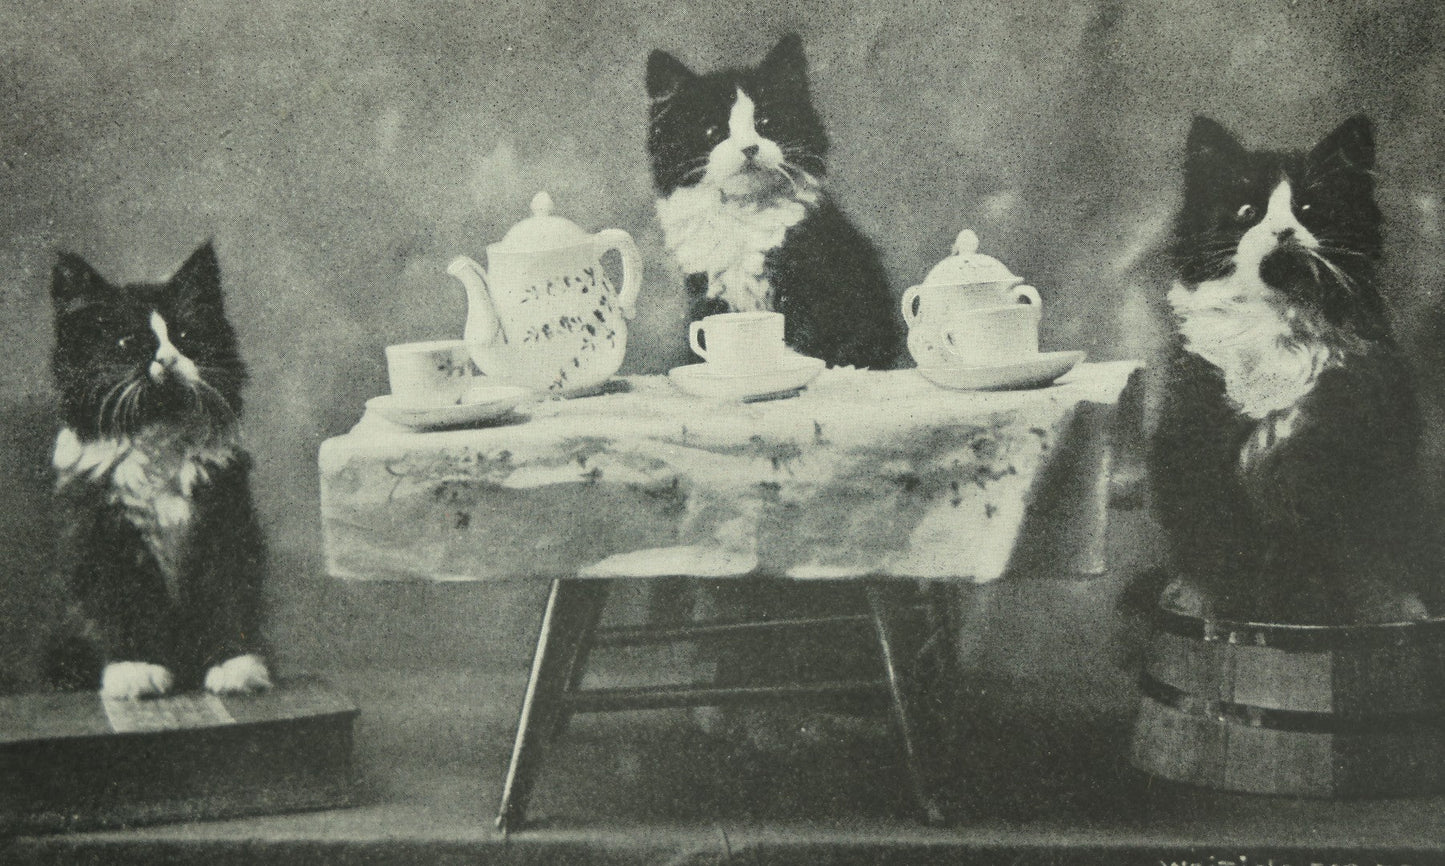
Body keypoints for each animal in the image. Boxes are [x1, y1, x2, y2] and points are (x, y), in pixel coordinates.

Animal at [45, 242, 271, 696]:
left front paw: (235, 666)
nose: (167, 359)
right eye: (128, 342)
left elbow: (227, 595)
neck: (159, 439)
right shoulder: (103, 537)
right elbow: (123, 606)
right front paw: (136, 671)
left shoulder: (225, 525)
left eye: (185, 338)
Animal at [647, 31, 901, 365]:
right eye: (713, 132)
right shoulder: (707, 287)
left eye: (765, 124)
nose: (749, 148)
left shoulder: (813, 277)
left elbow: (803, 335)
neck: (743, 210)